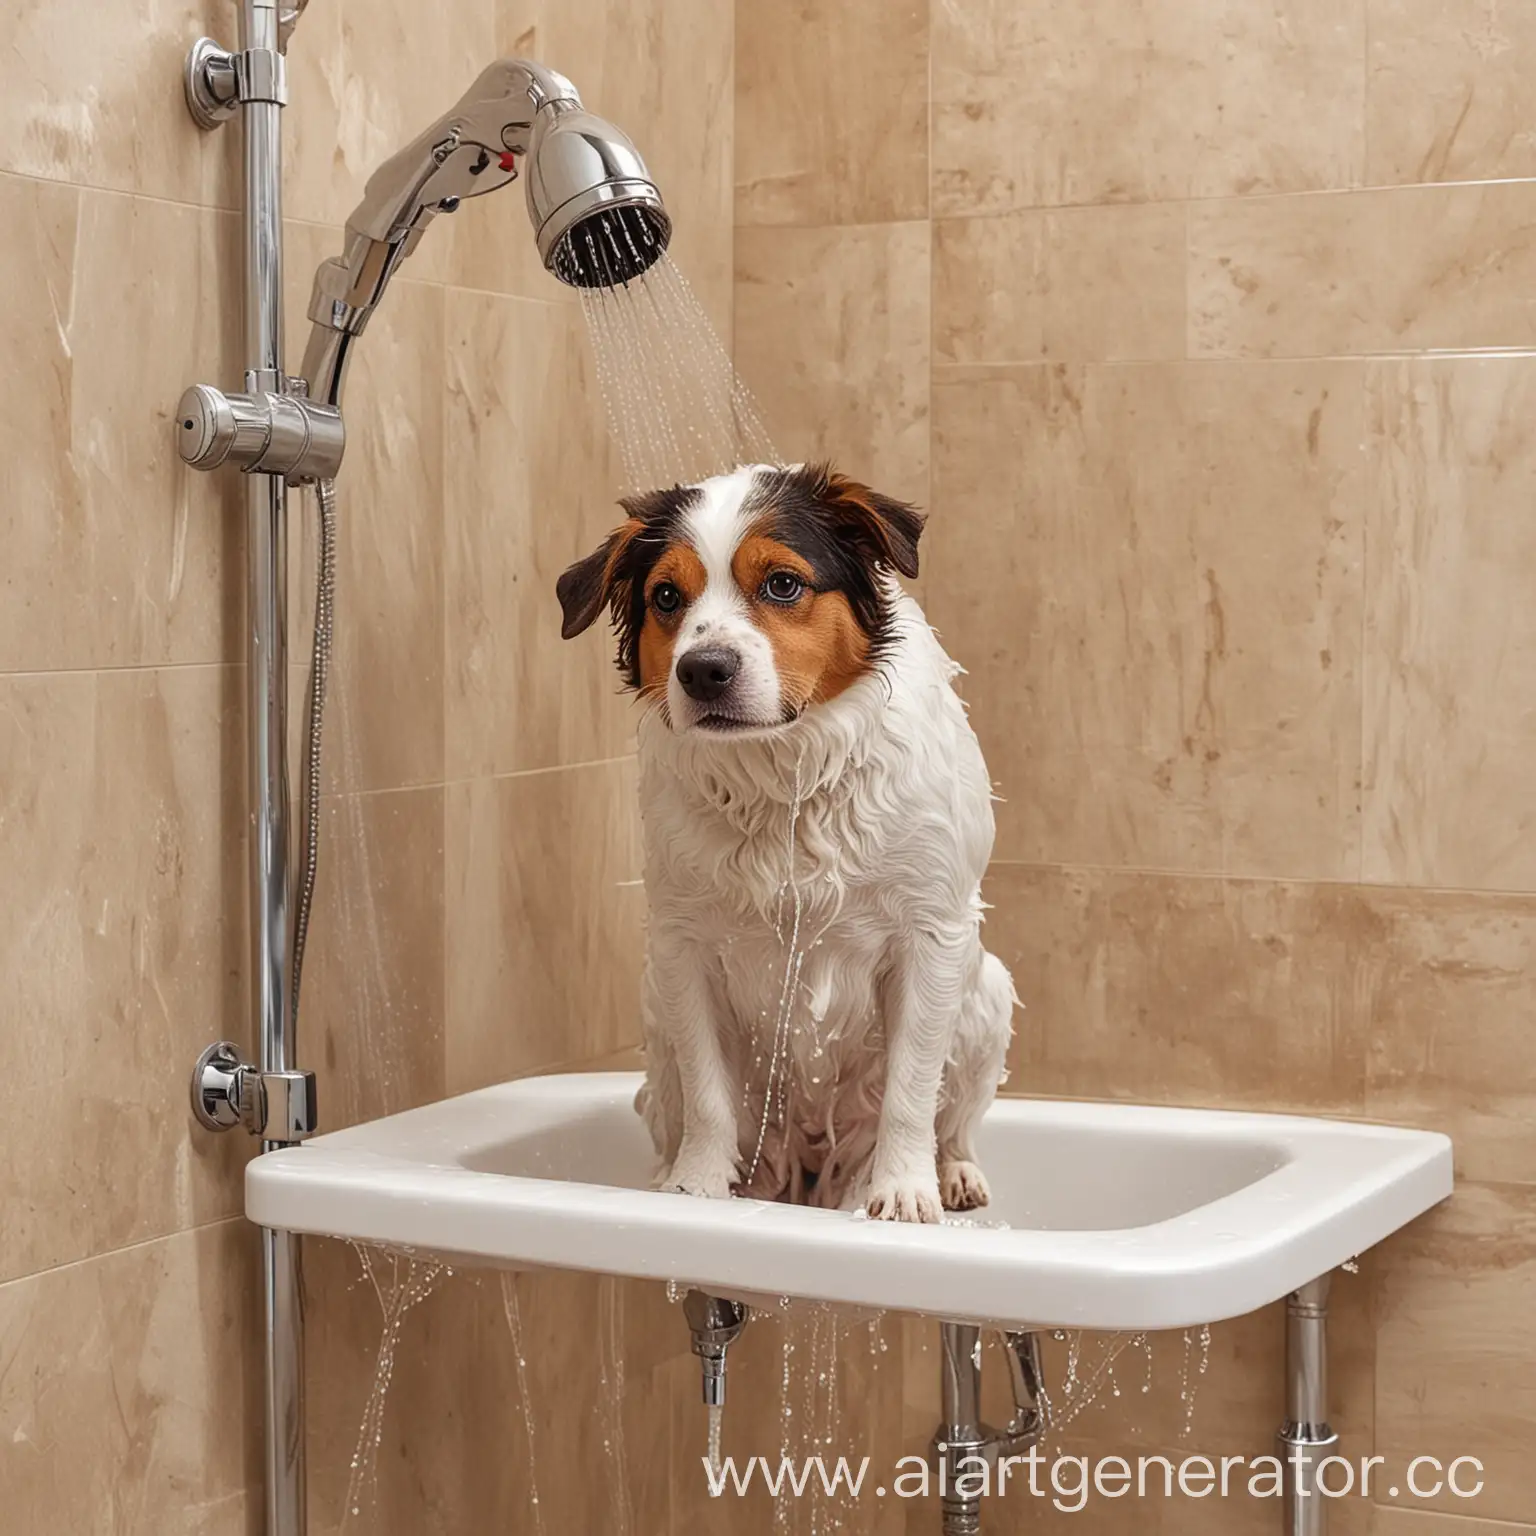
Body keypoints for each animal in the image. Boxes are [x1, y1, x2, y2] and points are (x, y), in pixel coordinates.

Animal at [559, 460, 1013, 1216]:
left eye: (781, 583)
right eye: (665, 596)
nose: (703, 670)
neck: (785, 778)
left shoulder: (930, 934)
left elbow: (911, 1088)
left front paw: (903, 1190)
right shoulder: (683, 944)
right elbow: (709, 1094)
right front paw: (696, 1185)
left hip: (988, 997)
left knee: (954, 1119)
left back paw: (952, 1173)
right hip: (654, 1011)